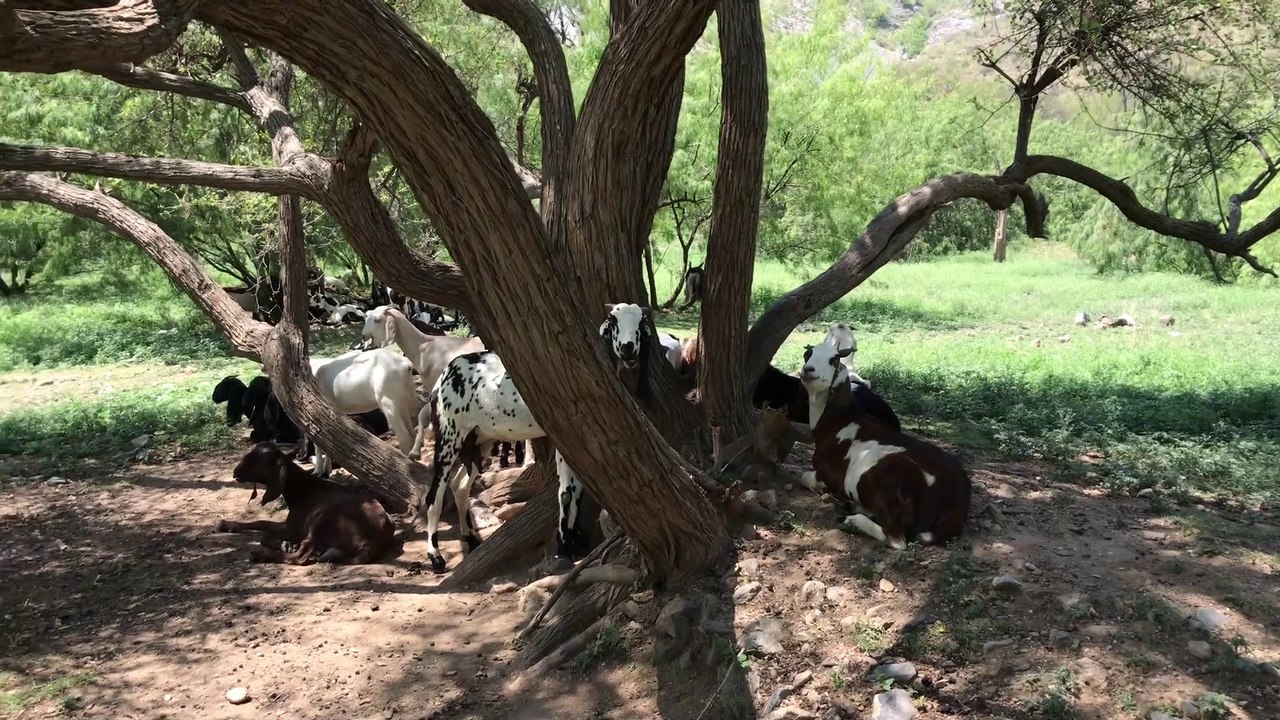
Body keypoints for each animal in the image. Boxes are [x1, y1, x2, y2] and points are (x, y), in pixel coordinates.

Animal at [214, 443, 397, 564]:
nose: (235, 472)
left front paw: (285, 545)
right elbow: (261, 523)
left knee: (299, 557)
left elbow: (264, 533)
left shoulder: (296, 528)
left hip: (320, 519)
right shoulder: (290, 524)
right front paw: (224, 524)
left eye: (254, 459)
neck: (301, 489)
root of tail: (371, 543)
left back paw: (262, 555)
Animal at [798, 340, 969, 549]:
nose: (808, 370)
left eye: (834, 359)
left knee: (896, 539)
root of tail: (957, 505)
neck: (836, 422)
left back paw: (850, 519)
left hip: (889, 479)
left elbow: (806, 476)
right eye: (807, 354)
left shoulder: (828, 471)